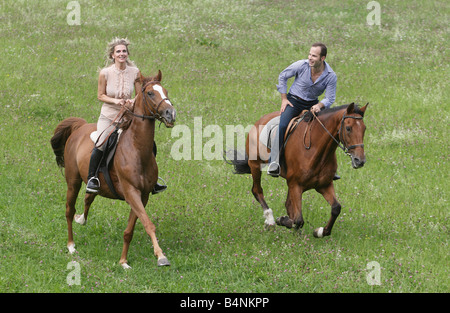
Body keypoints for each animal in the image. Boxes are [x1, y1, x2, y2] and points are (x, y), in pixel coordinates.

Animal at [50, 70, 175, 268]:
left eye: (166, 91)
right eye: (150, 93)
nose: (171, 114)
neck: (137, 150)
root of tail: (80, 127)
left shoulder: (143, 195)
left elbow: (129, 230)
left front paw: (123, 261)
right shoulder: (131, 192)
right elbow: (148, 224)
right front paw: (161, 256)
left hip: (96, 183)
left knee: (88, 197)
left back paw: (81, 219)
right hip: (73, 181)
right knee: (69, 210)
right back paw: (71, 245)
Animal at [227, 102, 368, 236]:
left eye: (364, 129)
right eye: (348, 128)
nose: (360, 161)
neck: (315, 150)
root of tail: (259, 121)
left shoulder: (324, 185)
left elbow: (336, 208)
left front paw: (320, 232)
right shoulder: (296, 184)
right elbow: (298, 220)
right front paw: (282, 220)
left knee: (288, 204)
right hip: (255, 165)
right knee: (257, 190)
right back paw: (270, 220)